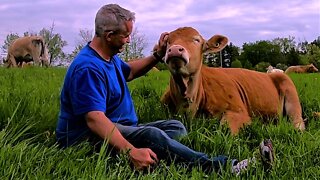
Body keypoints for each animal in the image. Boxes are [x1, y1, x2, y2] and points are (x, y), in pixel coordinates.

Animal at [159, 26, 304, 135]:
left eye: (196, 40)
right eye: (168, 42)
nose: (175, 49)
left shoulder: (239, 111)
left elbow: (226, 130)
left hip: (291, 95)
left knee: (298, 122)